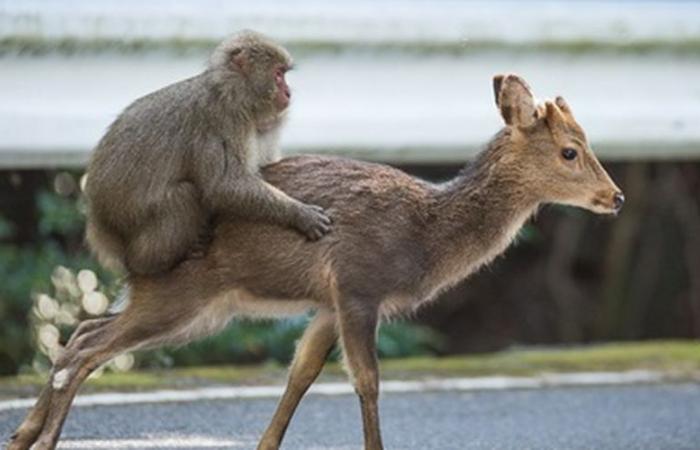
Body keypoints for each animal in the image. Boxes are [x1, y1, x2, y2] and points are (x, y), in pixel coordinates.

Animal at [8, 74, 624, 450]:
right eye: (570, 151)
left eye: (586, 142)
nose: (615, 196)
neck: (424, 235)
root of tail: (125, 245)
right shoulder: (358, 284)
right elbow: (367, 381)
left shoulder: (328, 303)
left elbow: (301, 373)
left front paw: (264, 444)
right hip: (181, 294)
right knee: (86, 348)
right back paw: (44, 438)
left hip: (190, 306)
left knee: (83, 329)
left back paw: (23, 434)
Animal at [84, 29, 330, 276]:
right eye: (278, 75)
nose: (288, 93)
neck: (232, 93)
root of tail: (100, 222)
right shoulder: (223, 120)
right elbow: (223, 185)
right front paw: (299, 214)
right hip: (129, 221)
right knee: (184, 195)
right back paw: (150, 262)